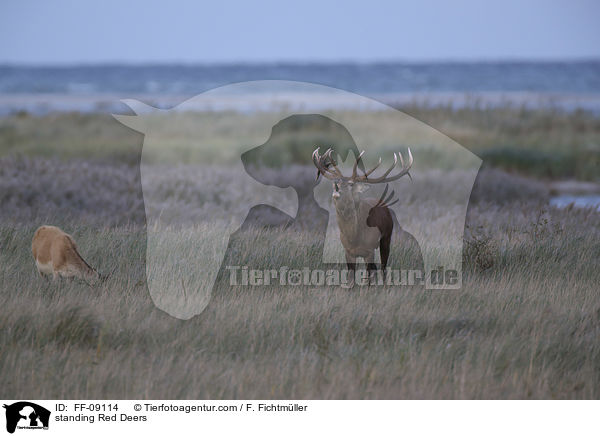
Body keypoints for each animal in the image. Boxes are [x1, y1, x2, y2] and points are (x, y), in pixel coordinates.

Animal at [314, 146, 412, 282]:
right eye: (337, 182)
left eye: (350, 184)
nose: (336, 188)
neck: (354, 237)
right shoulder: (348, 251)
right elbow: (351, 278)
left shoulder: (369, 250)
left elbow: (371, 275)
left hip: (386, 238)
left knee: (383, 269)